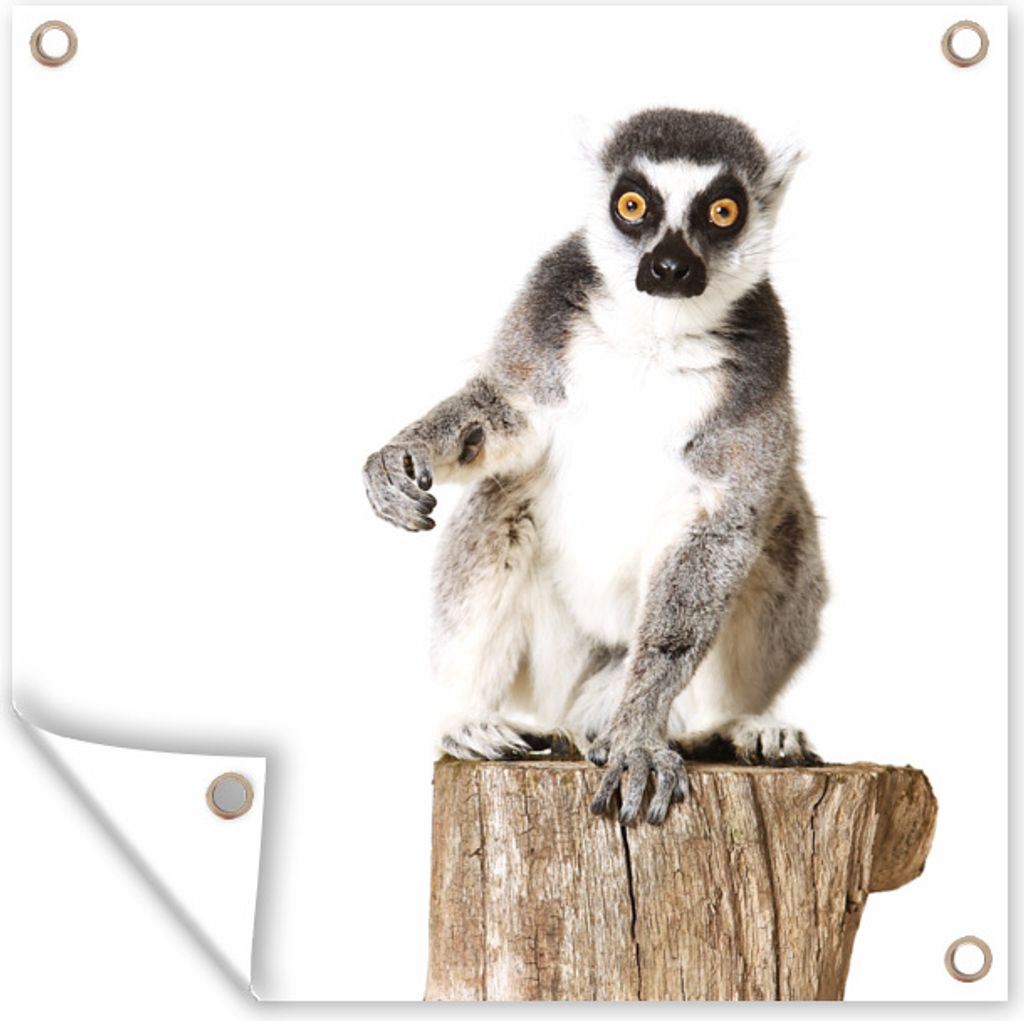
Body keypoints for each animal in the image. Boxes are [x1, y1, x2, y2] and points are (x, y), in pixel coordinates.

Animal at [362, 108, 828, 826]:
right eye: (632, 205)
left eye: (723, 211)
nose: (669, 266)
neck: (656, 331)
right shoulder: (544, 316)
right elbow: (504, 416)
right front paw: (400, 456)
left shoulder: (760, 377)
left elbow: (721, 529)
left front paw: (637, 739)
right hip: (557, 661)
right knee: (502, 501)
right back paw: (468, 720)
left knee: (778, 533)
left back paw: (737, 724)